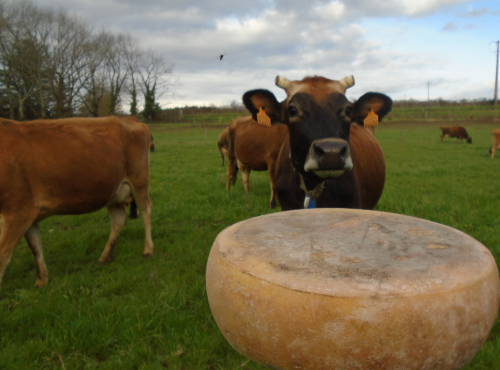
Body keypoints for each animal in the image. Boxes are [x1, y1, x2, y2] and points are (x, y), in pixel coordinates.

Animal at [0, 115, 152, 290]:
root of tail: (129, 119)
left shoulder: (17, 212)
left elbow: (3, 254)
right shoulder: (28, 213)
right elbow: (35, 246)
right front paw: (41, 281)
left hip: (139, 183)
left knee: (146, 210)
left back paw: (148, 250)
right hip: (113, 191)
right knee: (119, 219)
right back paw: (105, 256)